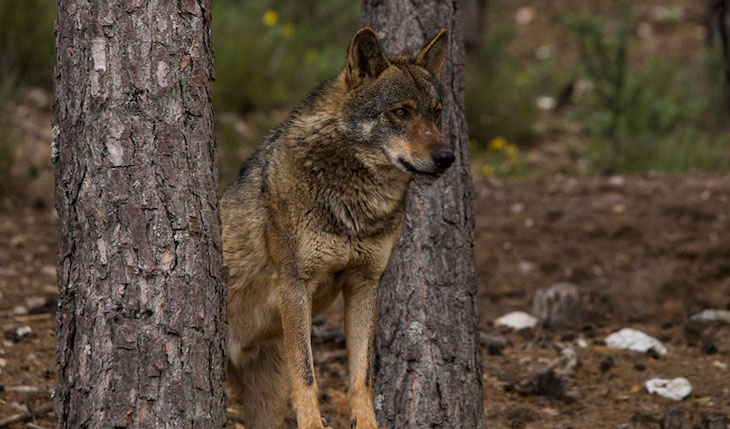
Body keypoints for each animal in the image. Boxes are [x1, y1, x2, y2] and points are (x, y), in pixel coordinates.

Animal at [221, 27, 453, 429]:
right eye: (401, 112)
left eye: (436, 114)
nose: (447, 157)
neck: (356, 204)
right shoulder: (294, 286)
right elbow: (307, 375)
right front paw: (314, 425)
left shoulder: (364, 285)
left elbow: (361, 377)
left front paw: (368, 423)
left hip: (266, 402)